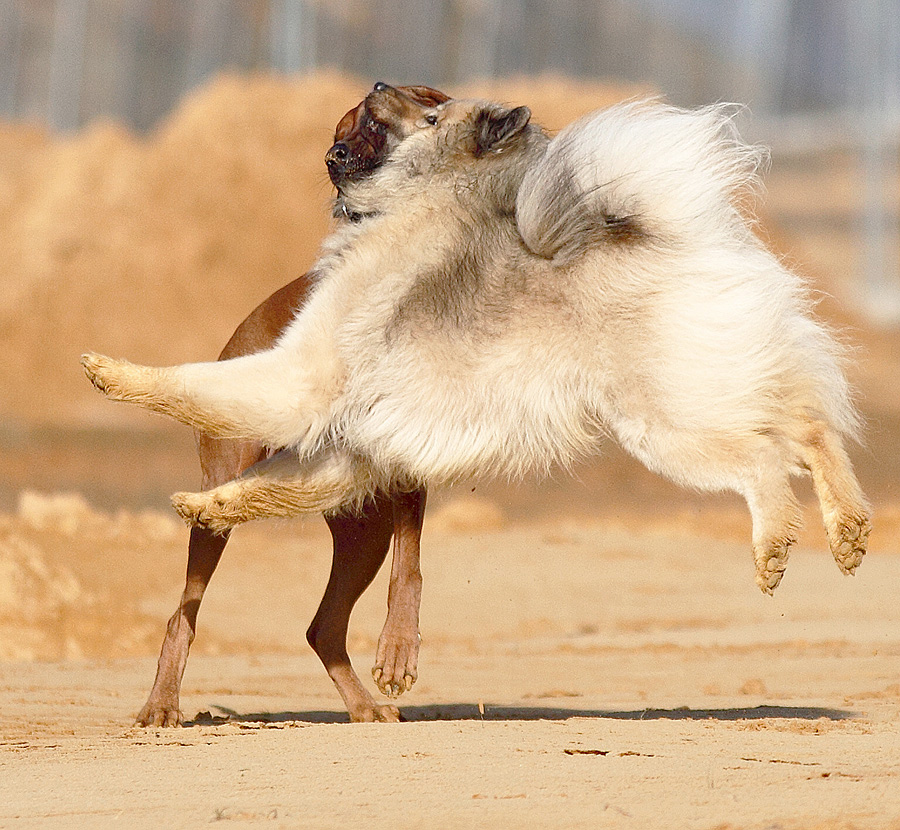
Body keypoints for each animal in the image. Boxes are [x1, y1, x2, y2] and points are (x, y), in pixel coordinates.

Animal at [82, 84, 864, 596]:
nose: (374, 83)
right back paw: (850, 529)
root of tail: (687, 239)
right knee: (811, 430)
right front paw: (207, 505)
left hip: (671, 427)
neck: (423, 203)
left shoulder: (299, 378)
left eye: (429, 113)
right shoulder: (352, 449)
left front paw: (111, 370)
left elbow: (189, 384)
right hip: (719, 391)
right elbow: (265, 485)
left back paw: (774, 548)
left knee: (764, 462)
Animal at [134, 83, 450, 728]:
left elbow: (410, 561)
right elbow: (410, 564)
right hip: (220, 503)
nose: (334, 158)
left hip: (359, 532)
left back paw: (363, 705)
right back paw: (162, 703)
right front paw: (399, 651)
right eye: (338, 132)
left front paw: (397, 646)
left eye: (370, 127)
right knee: (184, 612)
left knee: (323, 627)